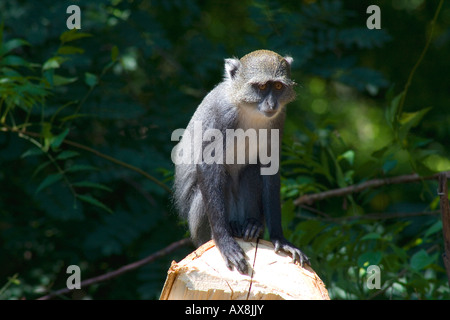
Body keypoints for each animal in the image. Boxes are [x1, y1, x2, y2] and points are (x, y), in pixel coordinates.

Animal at [172, 48, 310, 274]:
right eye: (261, 87)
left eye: (278, 86)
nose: (272, 104)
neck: (249, 109)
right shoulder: (221, 116)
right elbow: (208, 165)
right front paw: (224, 242)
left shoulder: (279, 118)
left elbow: (269, 168)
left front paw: (280, 239)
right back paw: (230, 229)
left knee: (251, 170)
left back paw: (251, 225)